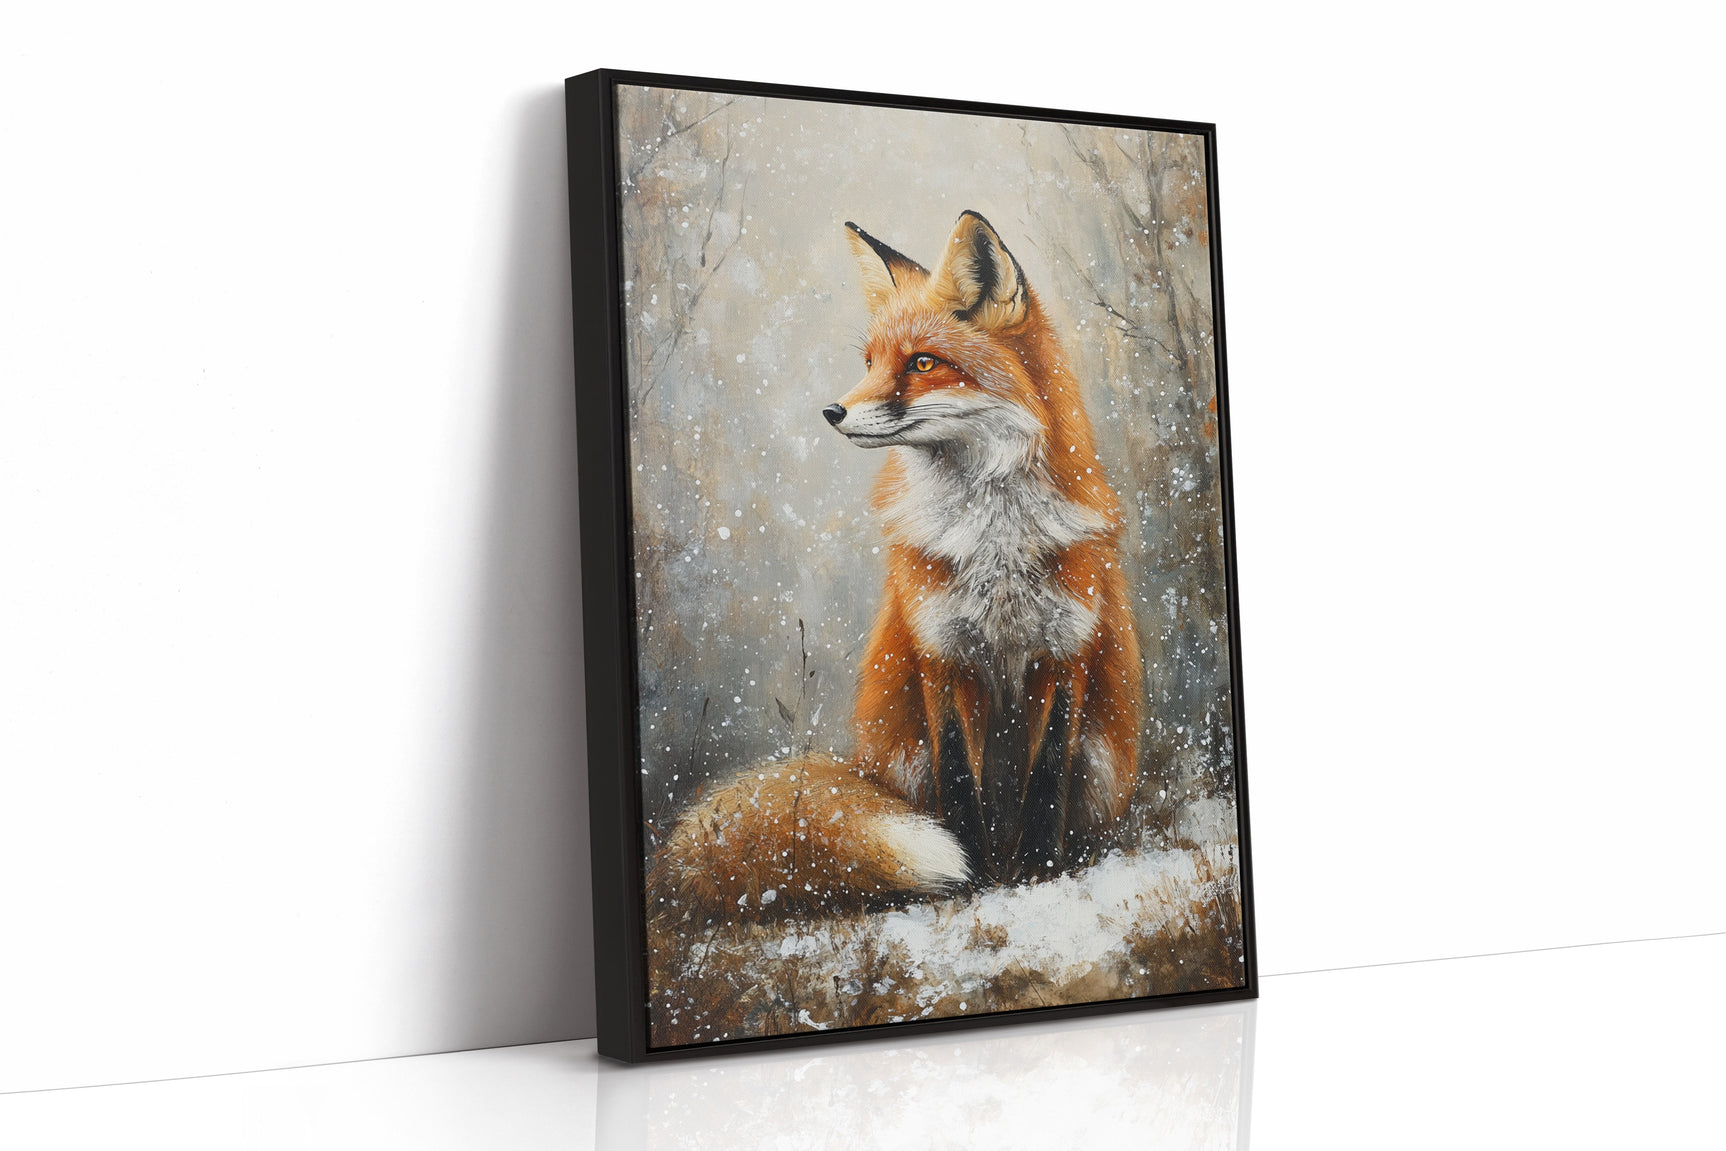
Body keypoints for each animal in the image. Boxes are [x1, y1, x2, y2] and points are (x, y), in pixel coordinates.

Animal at [654, 210, 1143, 918]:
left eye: (922, 363)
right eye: (870, 362)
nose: (832, 411)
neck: (994, 539)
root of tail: (860, 770)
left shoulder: (1066, 652)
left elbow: (1047, 778)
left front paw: (1040, 874)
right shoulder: (939, 653)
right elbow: (959, 780)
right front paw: (972, 877)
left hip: (1106, 756)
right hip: (900, 750)